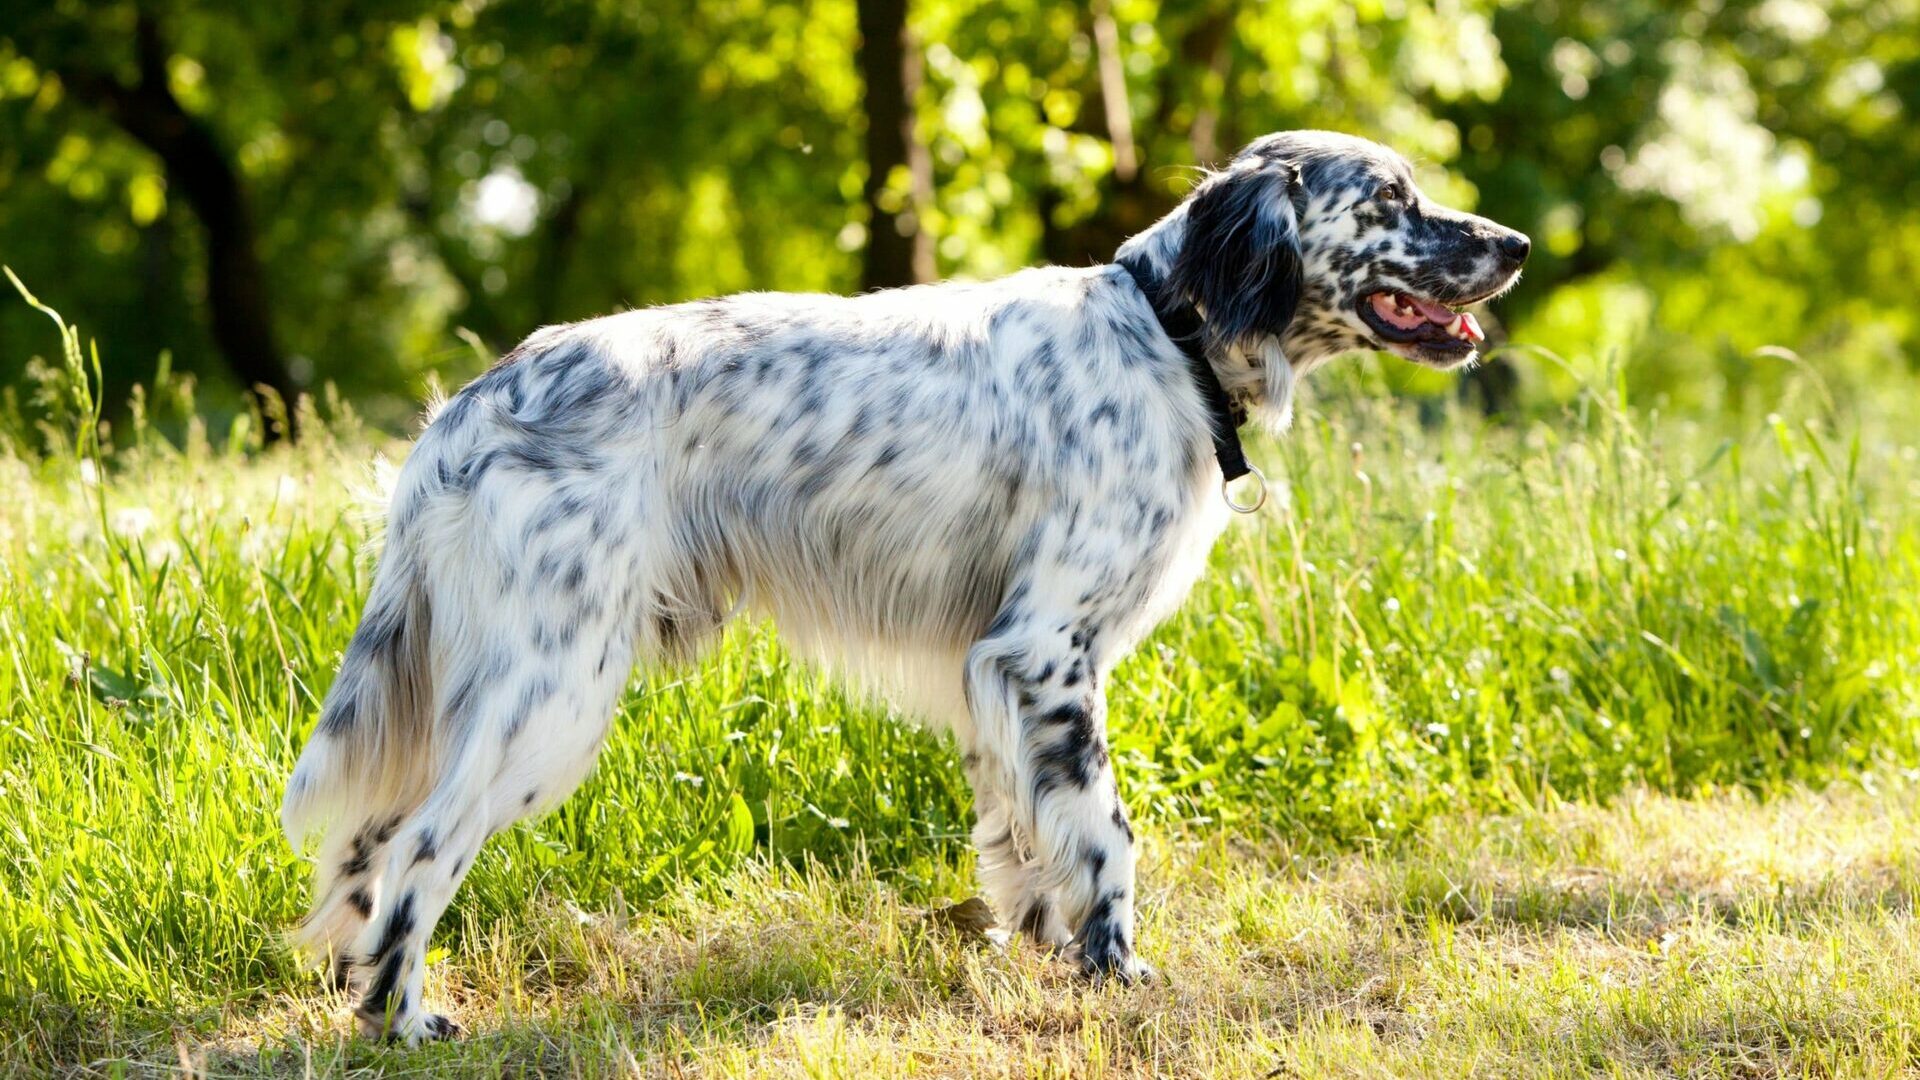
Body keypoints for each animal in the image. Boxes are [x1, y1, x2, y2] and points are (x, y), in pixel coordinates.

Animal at [280, 130, 1528, 1037]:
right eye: (1390, 198)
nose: (1514, 242)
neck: (1169, 338)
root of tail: (468, 408)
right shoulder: (1047, 649)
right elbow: (1107, 831)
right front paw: (1118, 973)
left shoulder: (991, 668)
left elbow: (1024, 831)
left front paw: (1043, 944)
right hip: (552, 692)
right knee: (419, 850)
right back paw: (405, 1019)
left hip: (480, 691)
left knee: (366, 849)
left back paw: (360, 996)